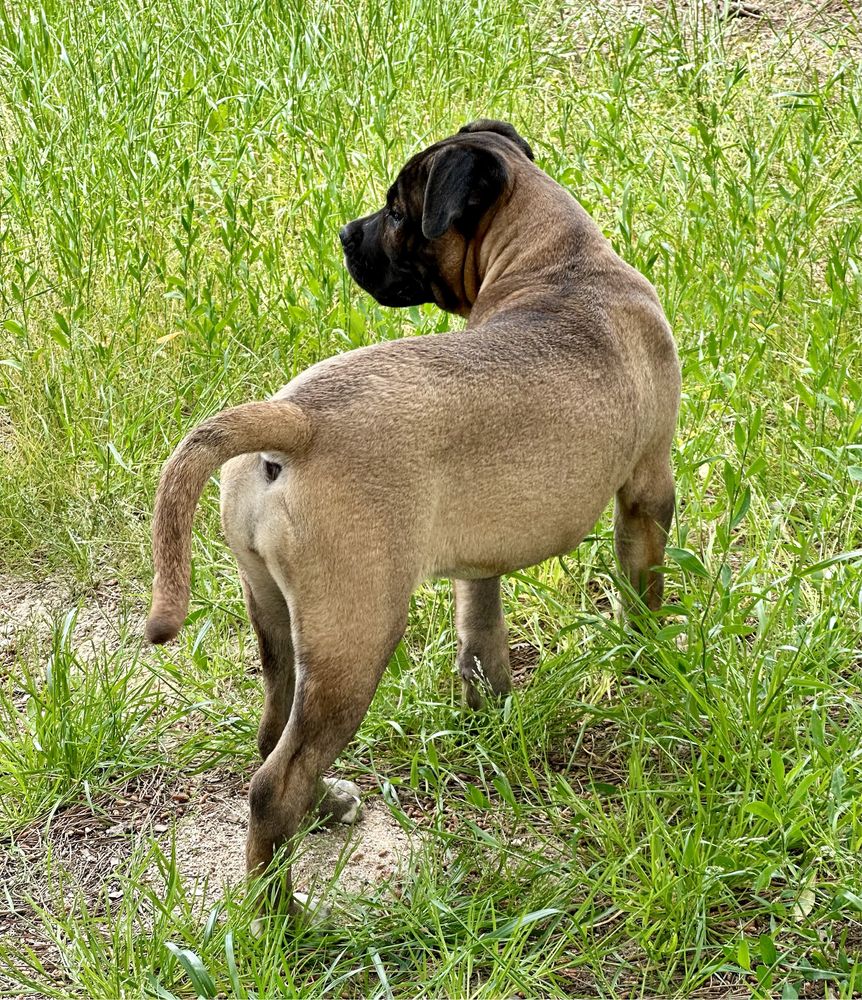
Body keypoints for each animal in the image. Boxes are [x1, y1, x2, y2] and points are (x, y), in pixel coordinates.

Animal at [147, 121, 680, 916]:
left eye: (398, 213)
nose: (345, 234)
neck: (562, 262)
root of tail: (296, 420)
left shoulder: (479, 558)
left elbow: (480, 633)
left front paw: (491, 709)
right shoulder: (648, 493)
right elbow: (642, 594)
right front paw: (648, 661)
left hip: (281, 623)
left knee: (272, 737)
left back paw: (324, 809)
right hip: (358, 638)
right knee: (273, 784)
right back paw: (282, 917)